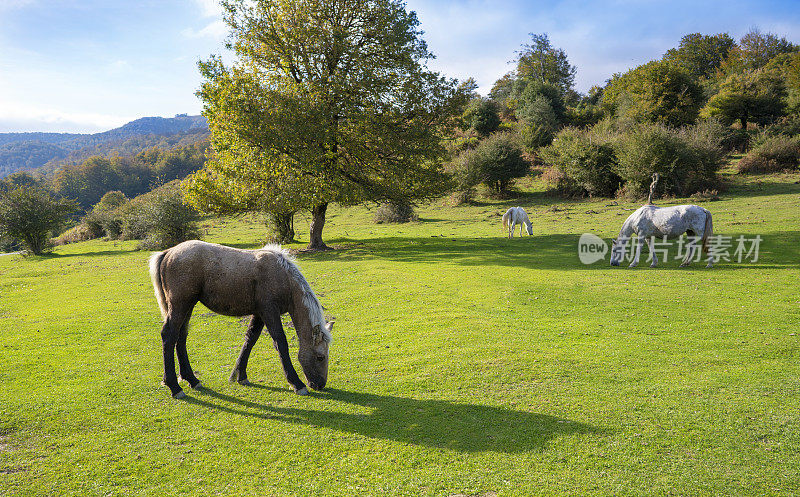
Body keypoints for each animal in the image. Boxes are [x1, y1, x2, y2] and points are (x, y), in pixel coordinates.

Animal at [149, 240, 332, 400]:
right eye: (320, 357)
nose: (320, 385)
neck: (282, 275)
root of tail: (168, 253)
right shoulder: (269, 312)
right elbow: (280, 343)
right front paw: (296, 383)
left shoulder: (259, 314)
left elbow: (250, 340)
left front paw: (240, 375)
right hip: (180, 305)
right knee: (169, 336)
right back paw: (174, 386)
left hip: (188, 306)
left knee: (181, 337)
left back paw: (191, 380)